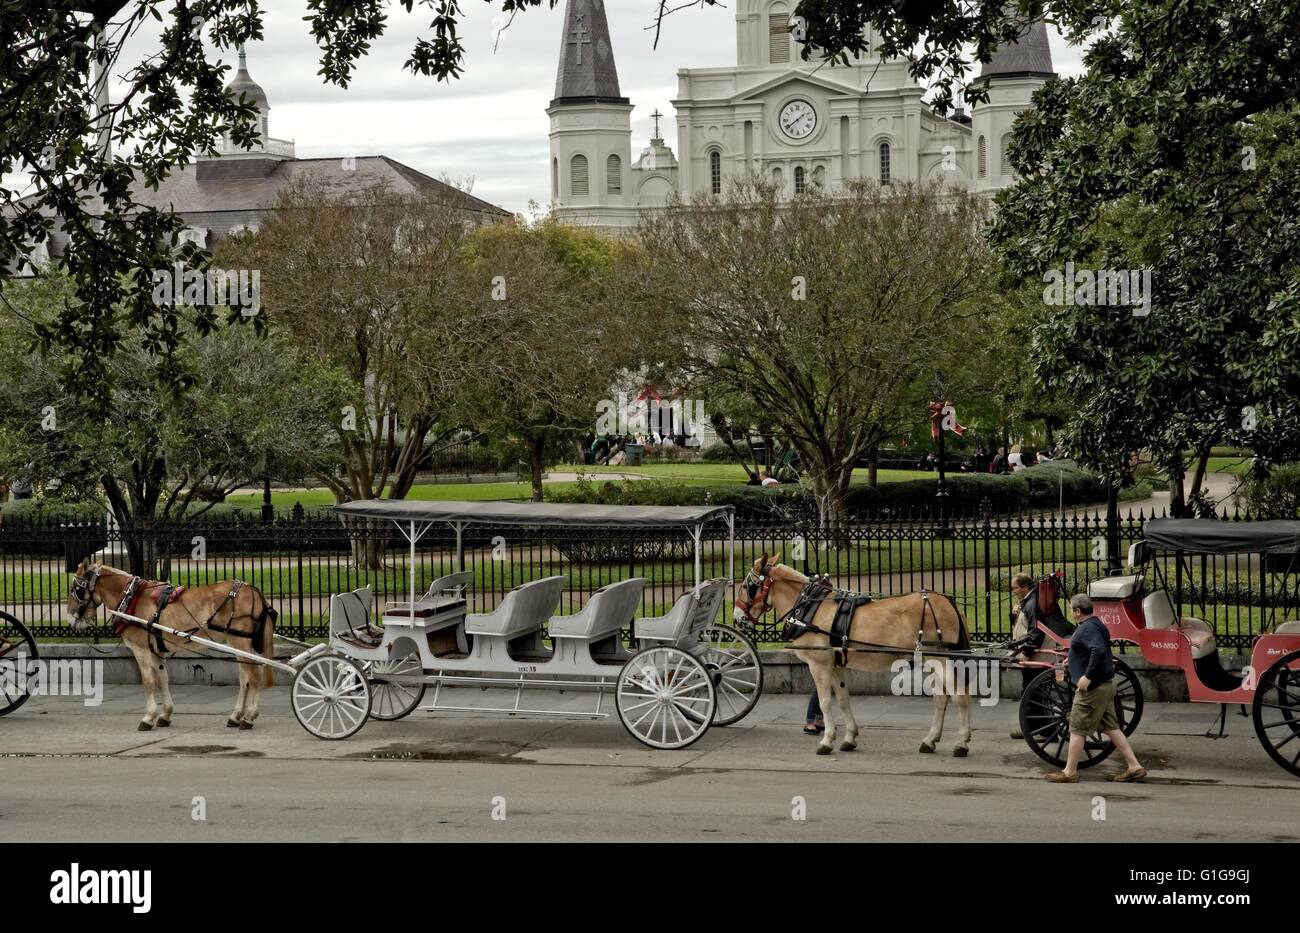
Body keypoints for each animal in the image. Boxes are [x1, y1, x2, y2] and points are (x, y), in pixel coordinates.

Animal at [67, 563, 275, 732]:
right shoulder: (156, 649)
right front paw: (165, 714)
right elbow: (162, 679)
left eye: (76, 589)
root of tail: (254, 591)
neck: (131, 597)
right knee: (245, 677)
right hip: (240, 643)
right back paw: (237, 715)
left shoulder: (141, 649)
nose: (70, 617)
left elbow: (149, 682)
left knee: (253, 675)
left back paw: (249, 717)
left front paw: (148, 717)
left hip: (239, 641)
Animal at [738, 556, 972, 758]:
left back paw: (961, 742)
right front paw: (849, 737)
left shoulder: (819, 664)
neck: (811, 605)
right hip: (932, 660)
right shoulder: (836, 664)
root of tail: (947, 602)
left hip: (939, 659)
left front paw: (826, 740)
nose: (738, 617)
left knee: (959, 696)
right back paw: (930, 740)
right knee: (941, 698)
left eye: (746, 586)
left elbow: (824, 701)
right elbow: (842, 699)